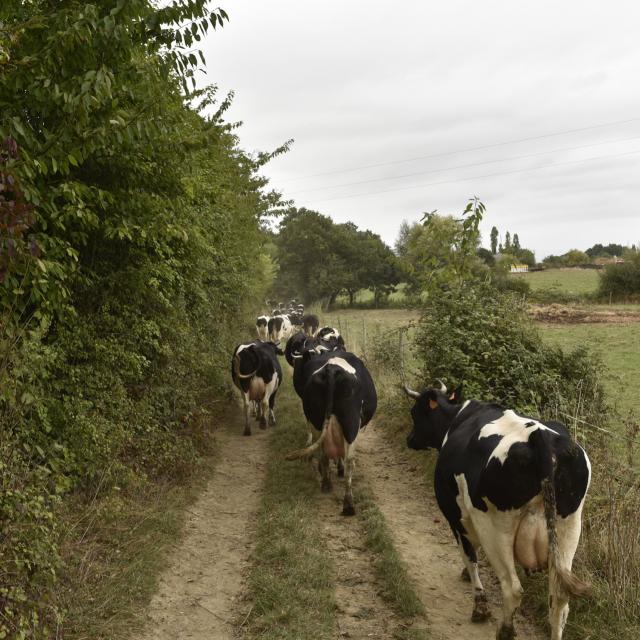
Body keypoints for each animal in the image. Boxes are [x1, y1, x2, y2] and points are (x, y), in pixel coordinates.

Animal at [284, 348, 376, 516]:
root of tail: (332, 369)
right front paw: (339, 468)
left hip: (316, 421)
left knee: (322, 454)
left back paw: (326, 484)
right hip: (351, 425)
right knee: (349, 462)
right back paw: (348, 505)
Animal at [402, 382, 592, 636]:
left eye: (415, 412)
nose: (410, 439)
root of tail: (540, 437)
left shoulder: (457, 516)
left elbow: (470, 555)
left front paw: (479, 605)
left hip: (495, 528)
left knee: (512, 588)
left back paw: (505, 630)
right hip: (569, 528)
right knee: (559, 600)